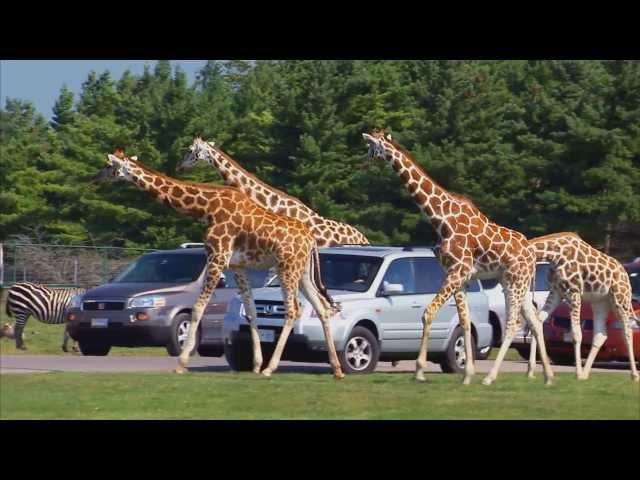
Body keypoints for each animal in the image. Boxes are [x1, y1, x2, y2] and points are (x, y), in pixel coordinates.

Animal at [92, 153, 344, 378]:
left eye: (108, 165)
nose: (94, 180)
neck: (206, 209)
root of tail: (310, 240)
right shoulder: (236, 265)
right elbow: (251, 311)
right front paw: (255, 364)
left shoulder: (217, 256)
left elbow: (197, 308)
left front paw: (181, 363)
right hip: (302, 272)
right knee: (322, 307)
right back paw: (336, 369)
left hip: (287, 268)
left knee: (293, 309)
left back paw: (272, 369)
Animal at [362, 129, 552, 384]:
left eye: (371, 148)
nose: (362, 164)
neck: (441, 219)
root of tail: (531, 255)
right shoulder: (458, 274)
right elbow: (464, 320)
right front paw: (467, 374)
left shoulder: (457, 270)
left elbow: (428, 313)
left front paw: (419, 371)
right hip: (511, 282)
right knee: (535, 320)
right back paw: (548, 376)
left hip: (516, 280)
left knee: (513, 324)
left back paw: (491, 377)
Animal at [524, 232, 636, 382]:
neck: (554, 254)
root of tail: (625, 274)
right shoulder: (556, 292)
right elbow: (537, 321)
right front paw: (530, 371)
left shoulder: (574, 293)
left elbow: (576, 334)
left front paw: (576, 373)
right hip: (600, 302)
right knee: (600, 335)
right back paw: (585, 374)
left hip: (620, 299)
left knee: (627, 332)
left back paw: (634, 375)